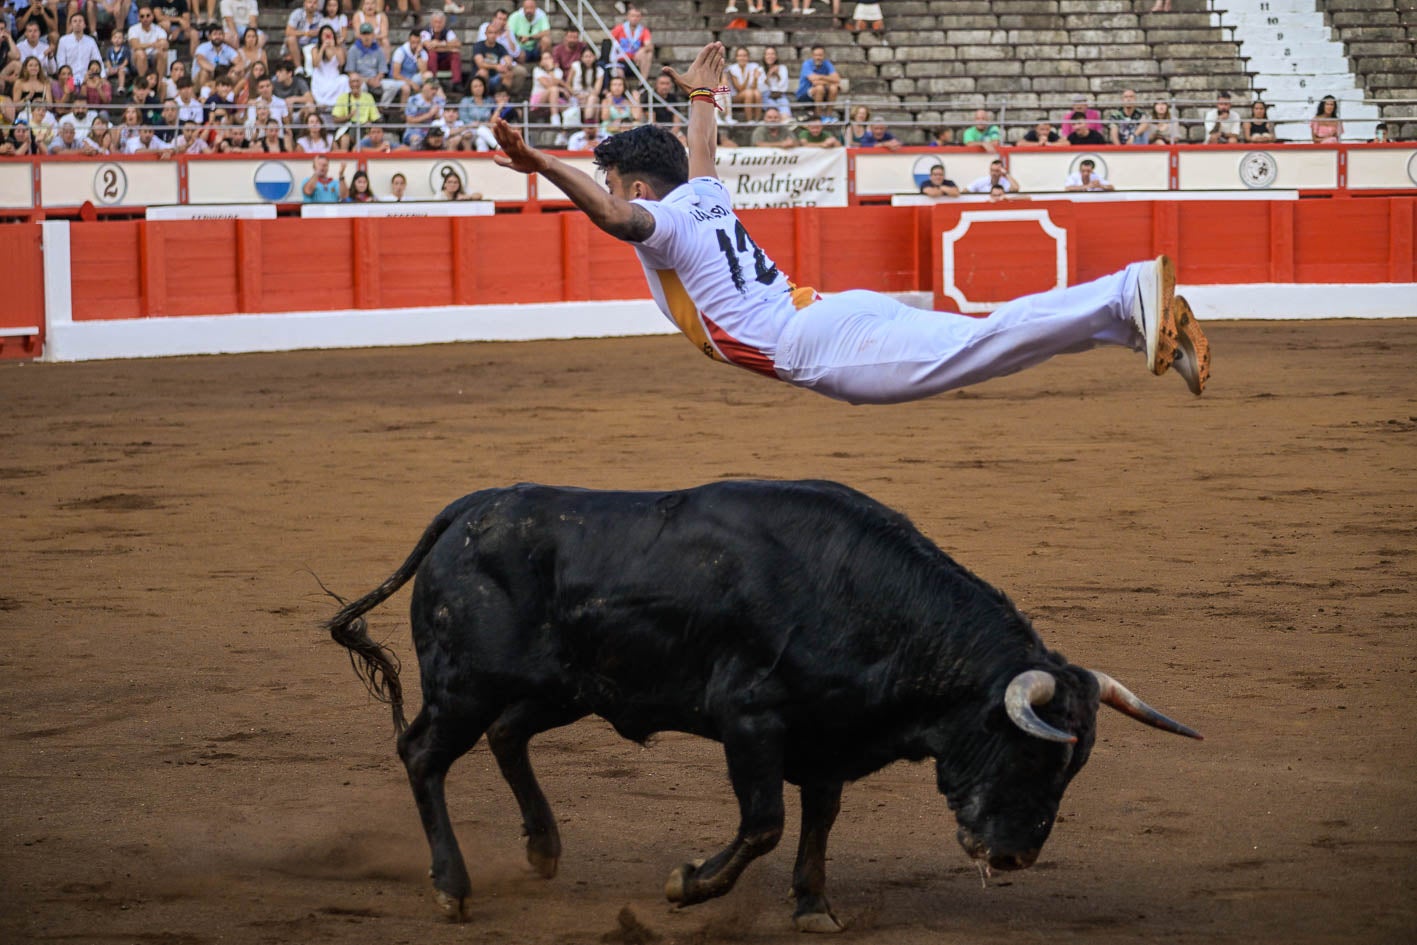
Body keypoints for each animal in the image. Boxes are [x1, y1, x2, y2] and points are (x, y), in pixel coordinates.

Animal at [325, 481, 1201, 929]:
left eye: (1073, 767)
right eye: (1029, 748)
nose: (1014, 855)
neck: (862, 599)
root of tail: (468, 511)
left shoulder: (828, 736)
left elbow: (818, 820)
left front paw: (813, 906)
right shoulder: (750, 721)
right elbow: (764, 822)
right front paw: (686, 884)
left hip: (561, 687)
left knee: (508, 736)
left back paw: (543, 848)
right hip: (464, 685)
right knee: (422, 754)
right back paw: (452, 885)